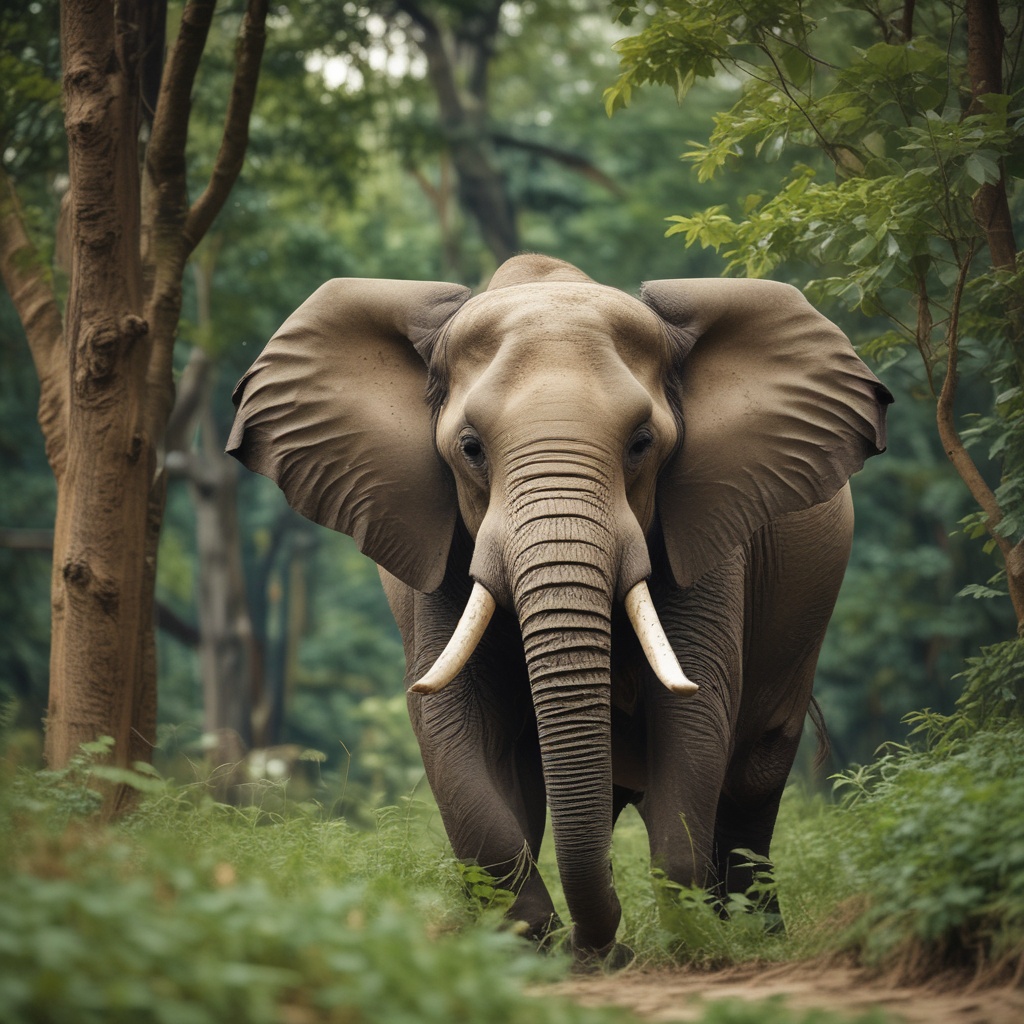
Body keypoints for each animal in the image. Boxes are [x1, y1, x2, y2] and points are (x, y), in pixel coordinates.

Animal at [226, 254, 891, 964]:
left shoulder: (710, 527)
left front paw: (687, 944)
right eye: (470, 448)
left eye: (642, 442)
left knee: (753, 781)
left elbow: (696, 706)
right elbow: (454, 718)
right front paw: (531, 948)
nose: (598, 948)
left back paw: (750, 934)